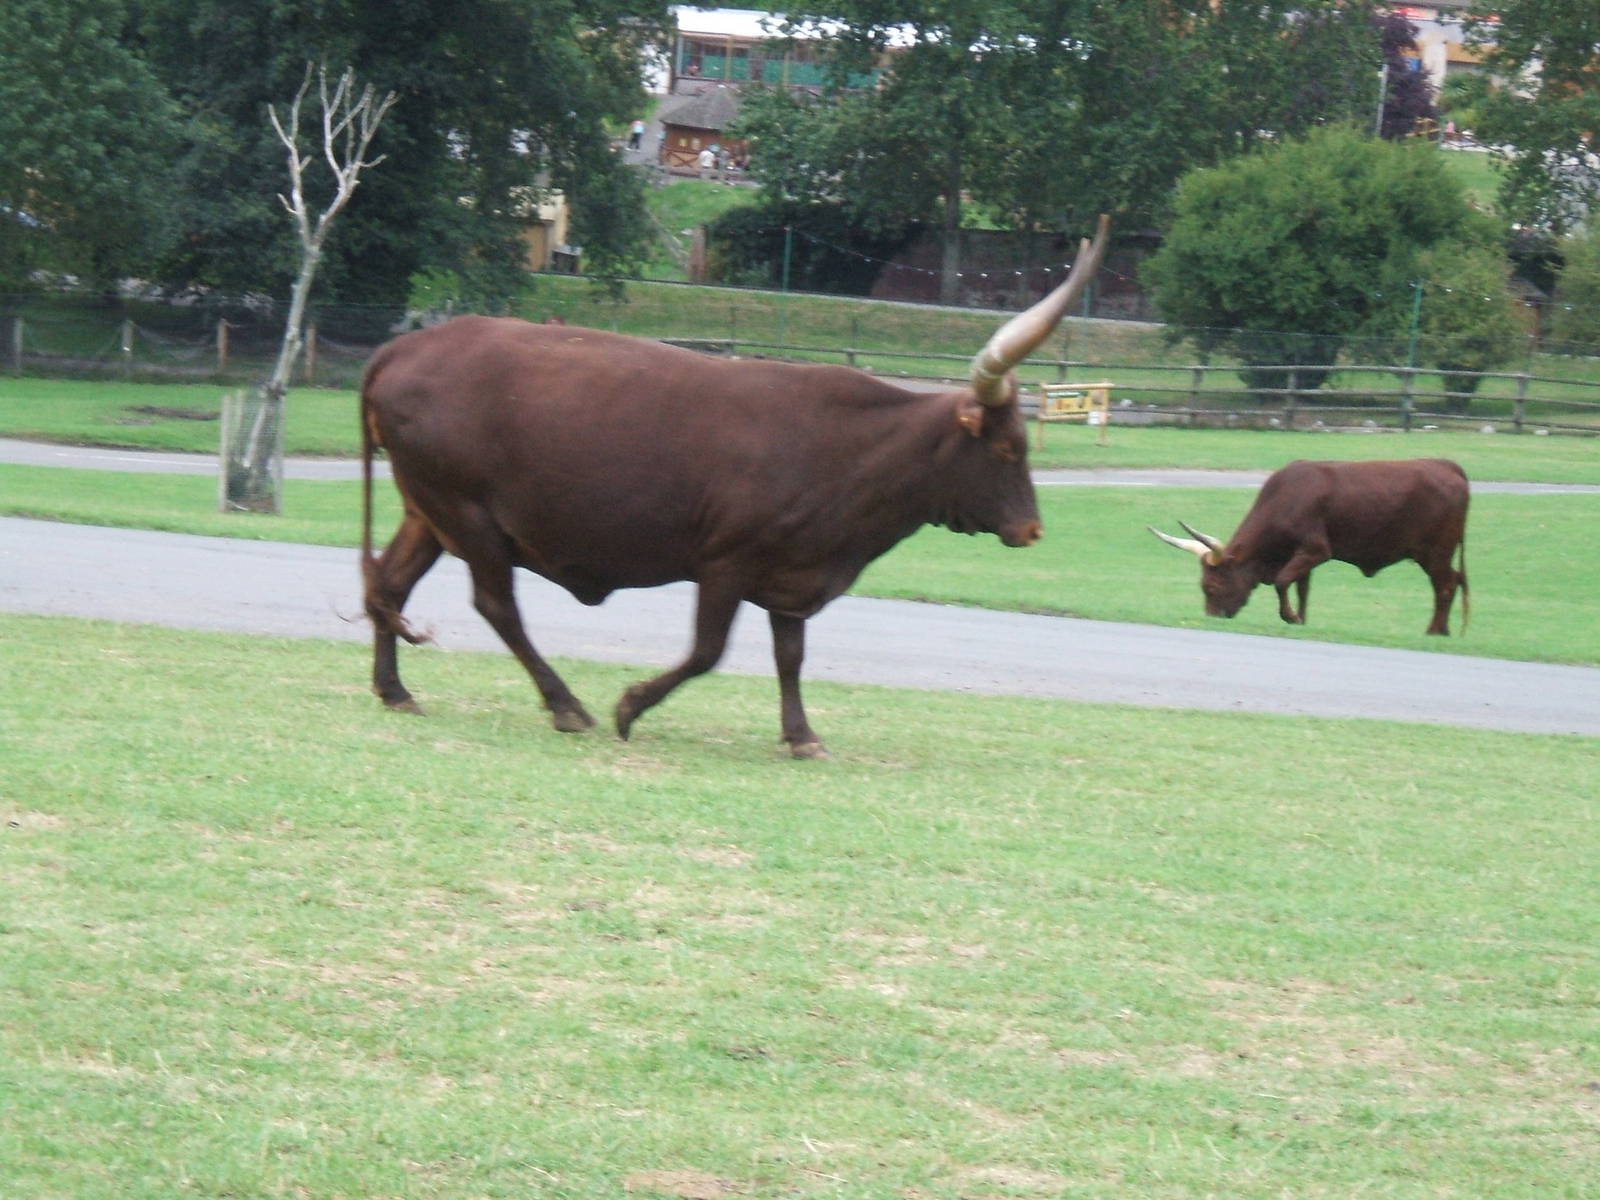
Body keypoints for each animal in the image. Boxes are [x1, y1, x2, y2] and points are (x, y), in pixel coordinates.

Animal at [359, 217, 1111, 757]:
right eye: (1008, 449)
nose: (1032, 529)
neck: (852, 449)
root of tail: (403, 349)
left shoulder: (793, 571)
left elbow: (791, 655)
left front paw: (802, 735)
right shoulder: (726, 562)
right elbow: (707, 652)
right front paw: (631, 706)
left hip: (427, 511)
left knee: (388, 586)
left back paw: (394, 691)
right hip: (471, 515)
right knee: (496, 606)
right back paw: (566, 705)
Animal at [1148, 457, 1470, 635]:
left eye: (1213, 587)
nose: (1213, 619)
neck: (1285, 498)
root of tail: (1447, 465)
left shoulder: (1315, 550)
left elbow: (1282, 582)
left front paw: (1291, 617)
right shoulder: (1302, 557)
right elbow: (1302, 588)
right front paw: (1301, 618)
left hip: (1436, 552)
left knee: (1445, 586)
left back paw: (1433, 630)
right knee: (1452, 582)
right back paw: (1443, 630)